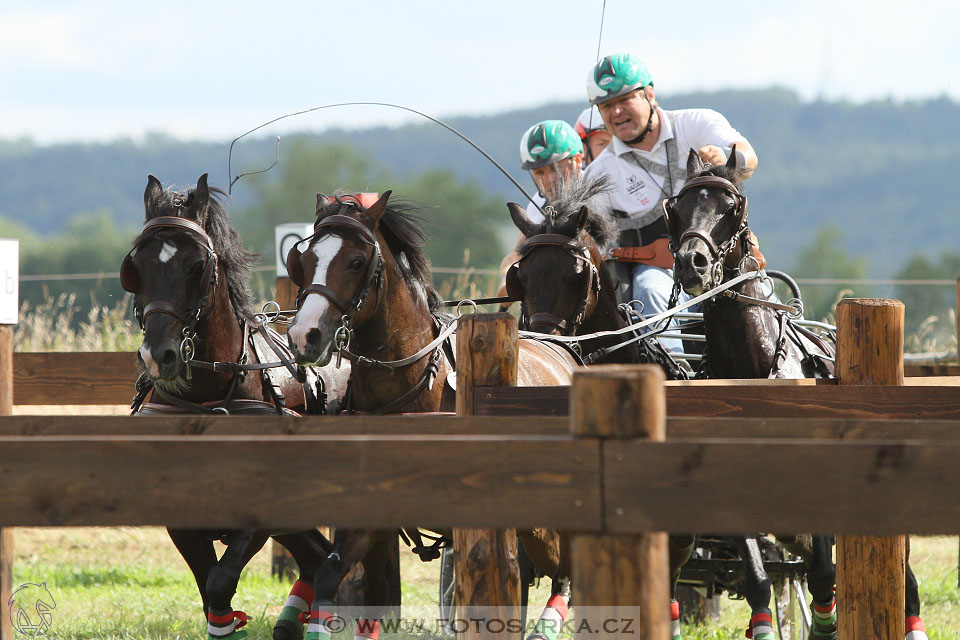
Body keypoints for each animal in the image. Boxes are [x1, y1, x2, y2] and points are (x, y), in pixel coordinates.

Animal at [122, 174, 350, 640]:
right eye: (137, 267)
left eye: (198, 266)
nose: (159, 356)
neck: (207, 400)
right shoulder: (183, 519)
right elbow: (210, 596)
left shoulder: (260, 512)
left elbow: (220, 582)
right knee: (318, 560)